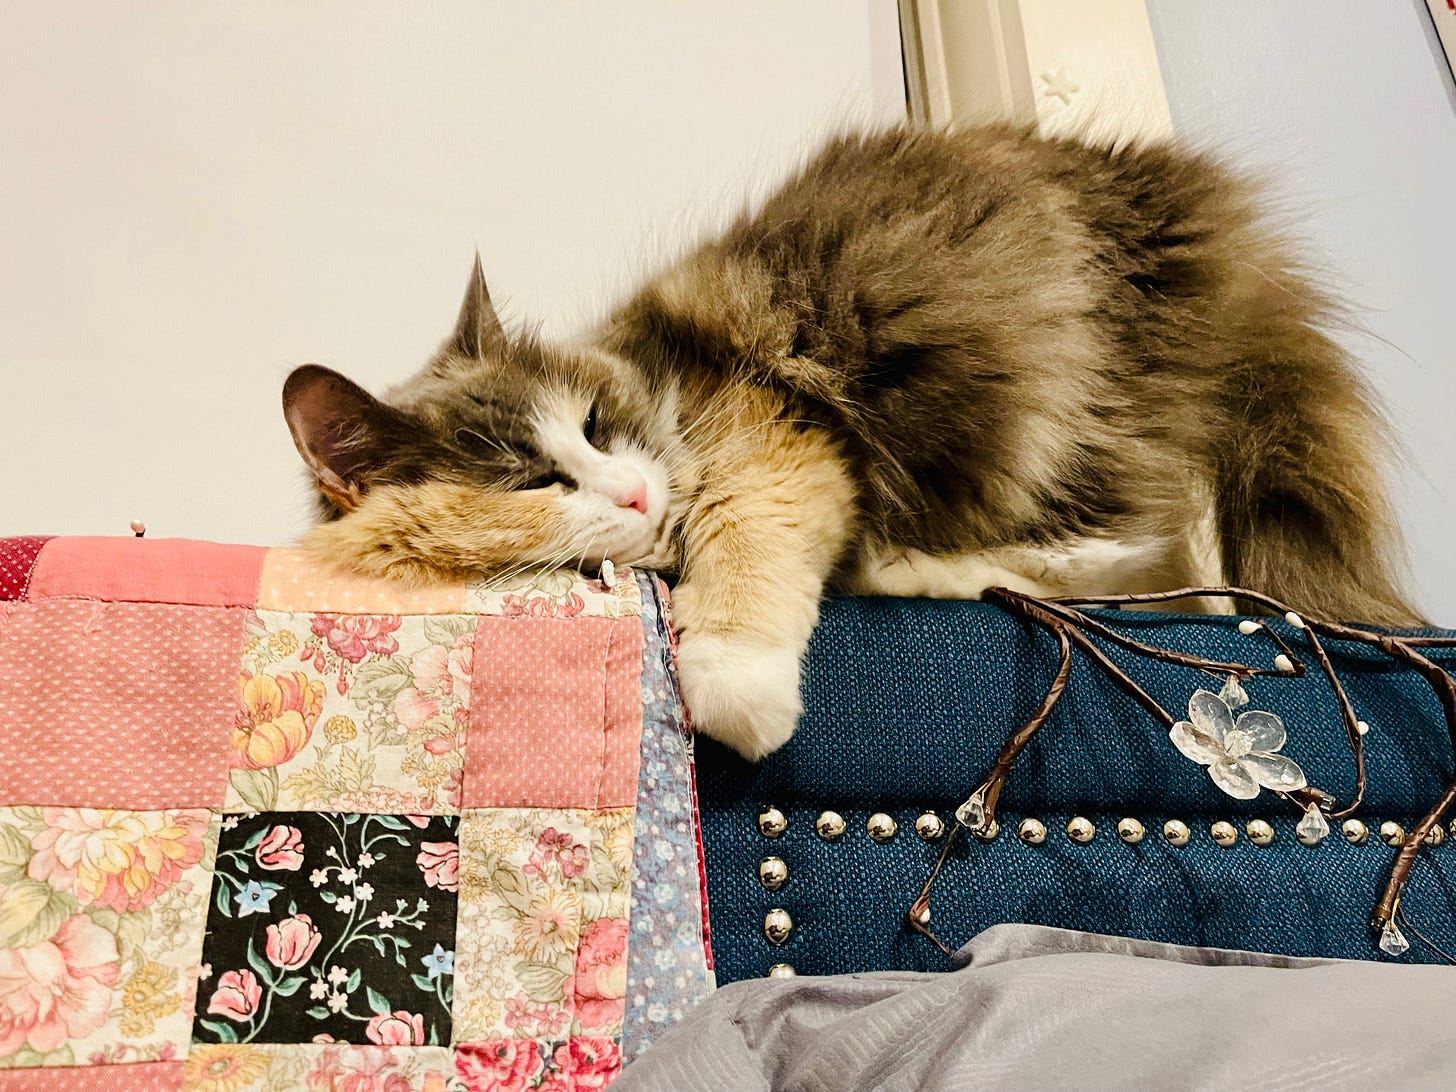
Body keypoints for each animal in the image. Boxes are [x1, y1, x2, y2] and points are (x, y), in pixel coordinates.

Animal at [283, 123, 1421, 762]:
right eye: (530, 480)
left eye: (599, 424)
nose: (637, 494)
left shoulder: (779, 437)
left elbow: (749, 551)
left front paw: (733, 690)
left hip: (1061, 400)